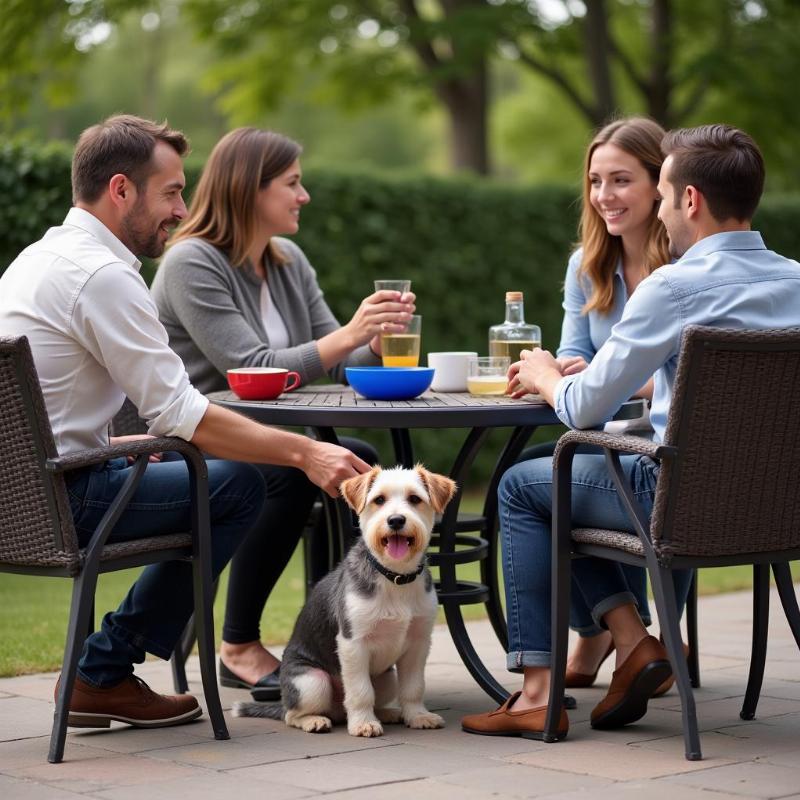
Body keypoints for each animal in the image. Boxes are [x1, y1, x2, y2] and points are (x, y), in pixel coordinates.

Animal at [231, 468, 456, 736]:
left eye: (414, 499)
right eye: (379, 500)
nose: (395, 520)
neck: (394, 577)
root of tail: (337, 711)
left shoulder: (418, 643)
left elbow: (413, 687)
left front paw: (418, 715)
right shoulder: (353, 643)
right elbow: (360, 692)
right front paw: (363, 723)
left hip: (387, 679)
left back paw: (388, 713)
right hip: (312, 682)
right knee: (292, 714)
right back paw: (315, 720)